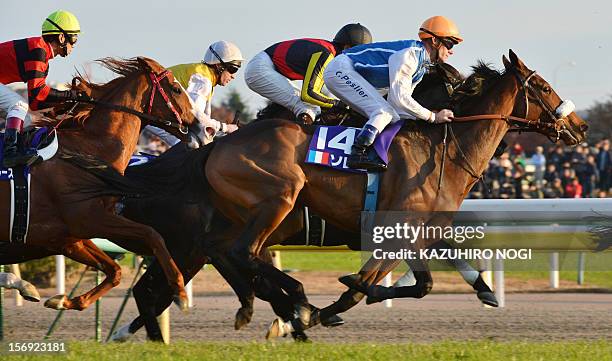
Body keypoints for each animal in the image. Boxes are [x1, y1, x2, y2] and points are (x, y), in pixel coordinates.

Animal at [0, 56, 196, 310]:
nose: (201, 126)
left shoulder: (68, 238)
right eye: (175, 88)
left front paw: (64, 301)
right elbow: (152, 234)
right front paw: (180, 292)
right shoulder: (87, 219)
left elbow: (114, 271)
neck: (88, 151)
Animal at [201, 50, 588, 330]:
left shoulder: (421, 228)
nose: (580, 126)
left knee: (229, 253)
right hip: (278, 202)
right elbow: (388, 281)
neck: (442, 149)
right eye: (544, 87)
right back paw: (291, 300)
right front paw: (338, 301)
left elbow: (417, 280)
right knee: (240, 252)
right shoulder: (399, 227)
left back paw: (273, 306)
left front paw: (485, 291)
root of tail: (220, 143)